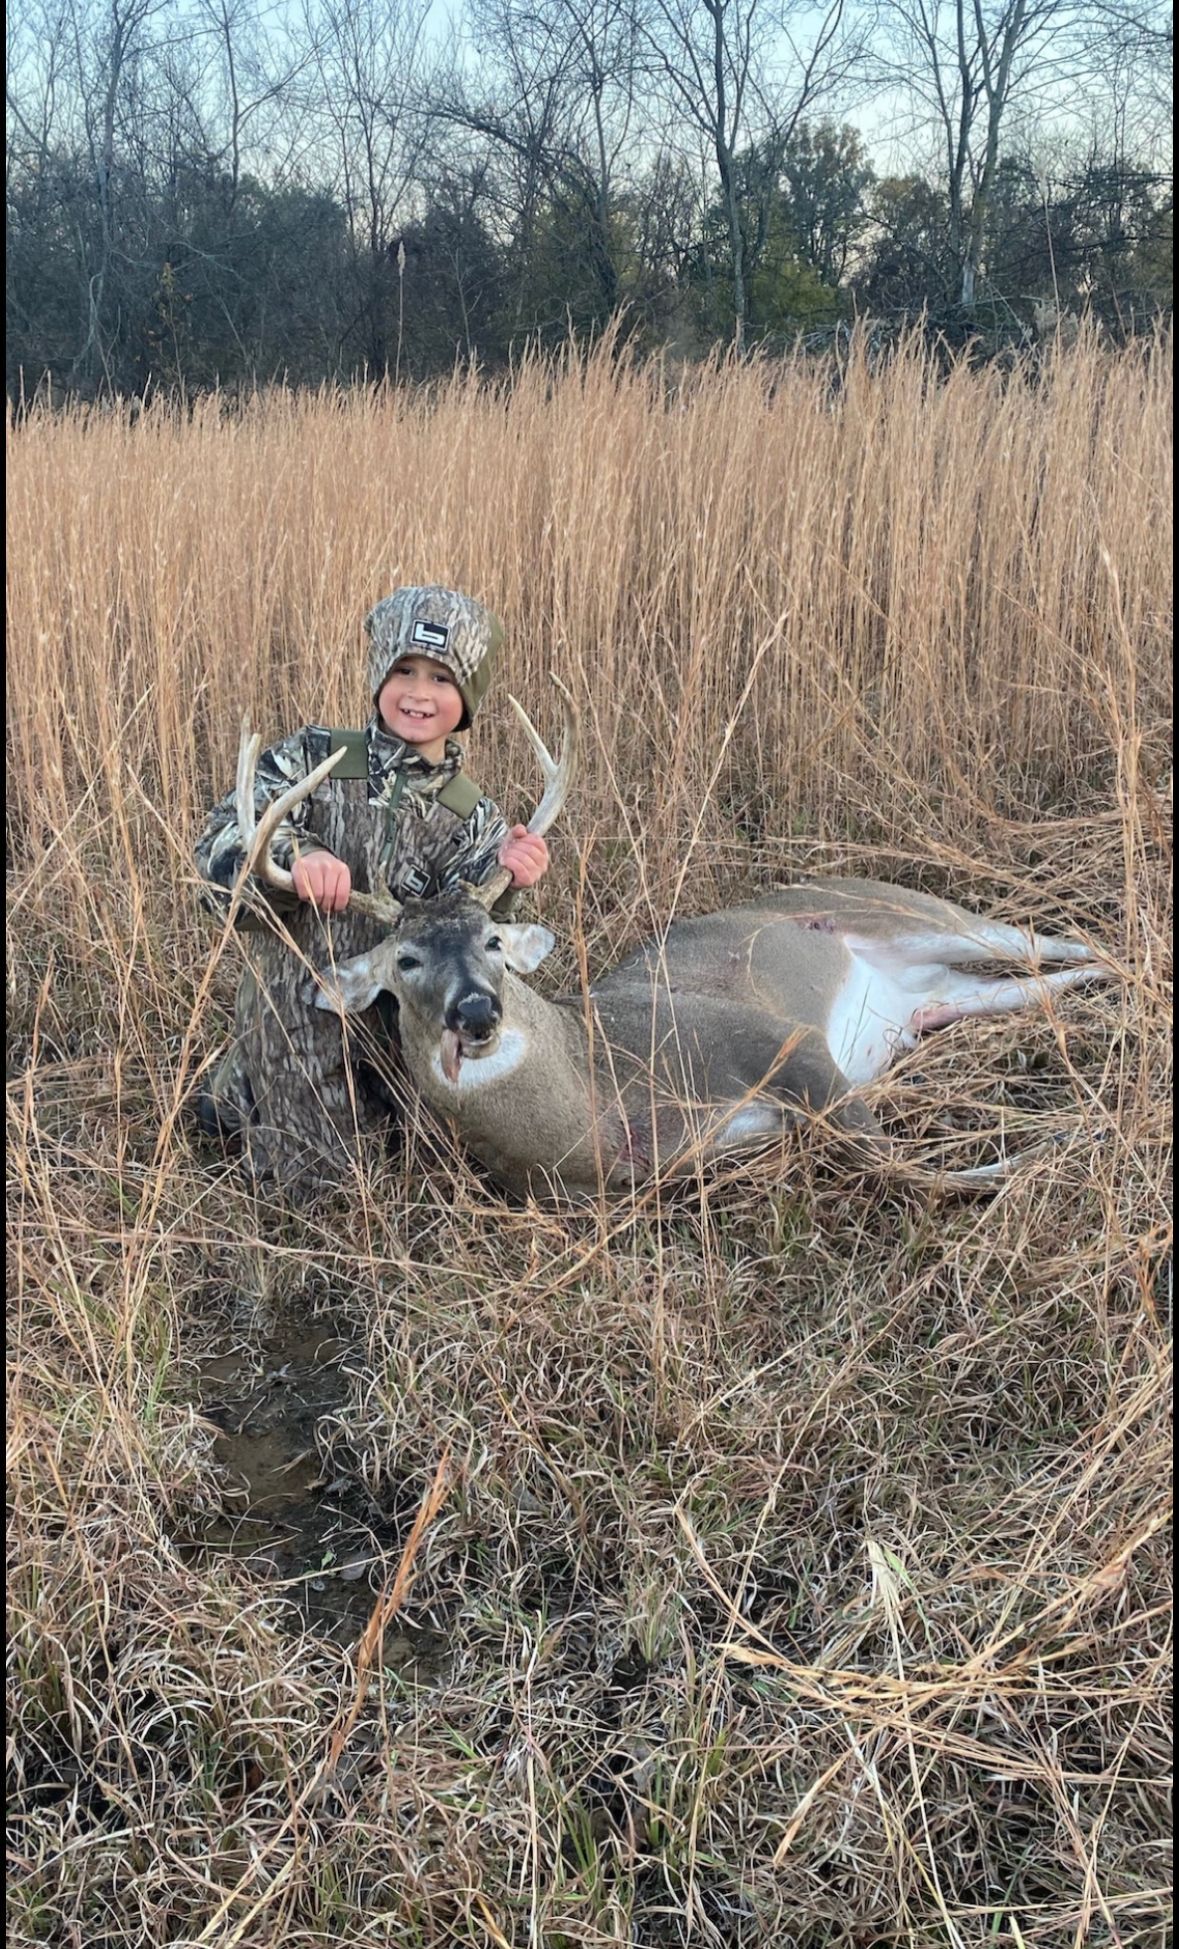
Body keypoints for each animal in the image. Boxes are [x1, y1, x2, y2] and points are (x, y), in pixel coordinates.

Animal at [232, 682, 1118, 1198]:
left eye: (491, 939)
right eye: (406, 960)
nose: (476, 1013)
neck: (599, 1096)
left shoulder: (774, 1037)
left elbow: (901, 1167)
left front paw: (1051, 1140)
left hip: (911, 911)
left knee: (1058, 941)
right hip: (933, 996)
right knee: (1020, 984)